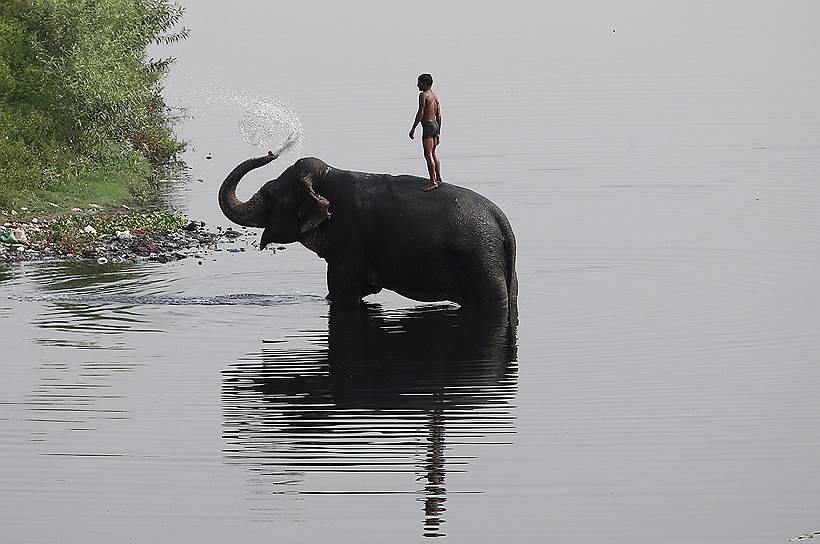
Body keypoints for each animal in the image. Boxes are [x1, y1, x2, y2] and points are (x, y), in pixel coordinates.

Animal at [218, 151, 520, 326]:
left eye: (268, 193)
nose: (271, 152)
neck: (326, 176)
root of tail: (502, 220)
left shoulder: (347, 240)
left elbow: (342, 292)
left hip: (480, 261)